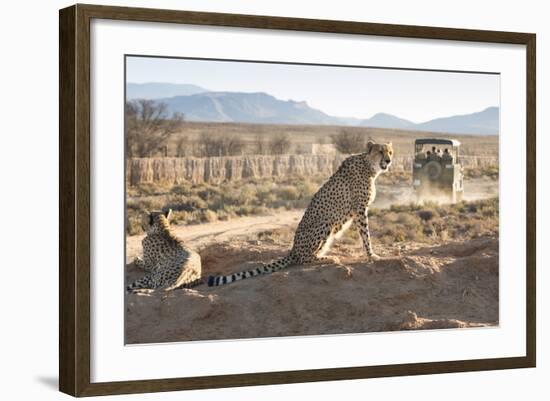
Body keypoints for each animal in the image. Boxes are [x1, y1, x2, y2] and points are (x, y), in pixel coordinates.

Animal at [209, 140, 394, 284]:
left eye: (390, 151)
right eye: (380, 151)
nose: (389, 160)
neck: (369, 166)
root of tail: (293, 249)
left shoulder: (360, 210)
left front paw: (371, 255)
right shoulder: (360, 209)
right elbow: (366, 235)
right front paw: (372, 255)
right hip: (325, 223)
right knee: (303, 259)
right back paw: (329, 258)